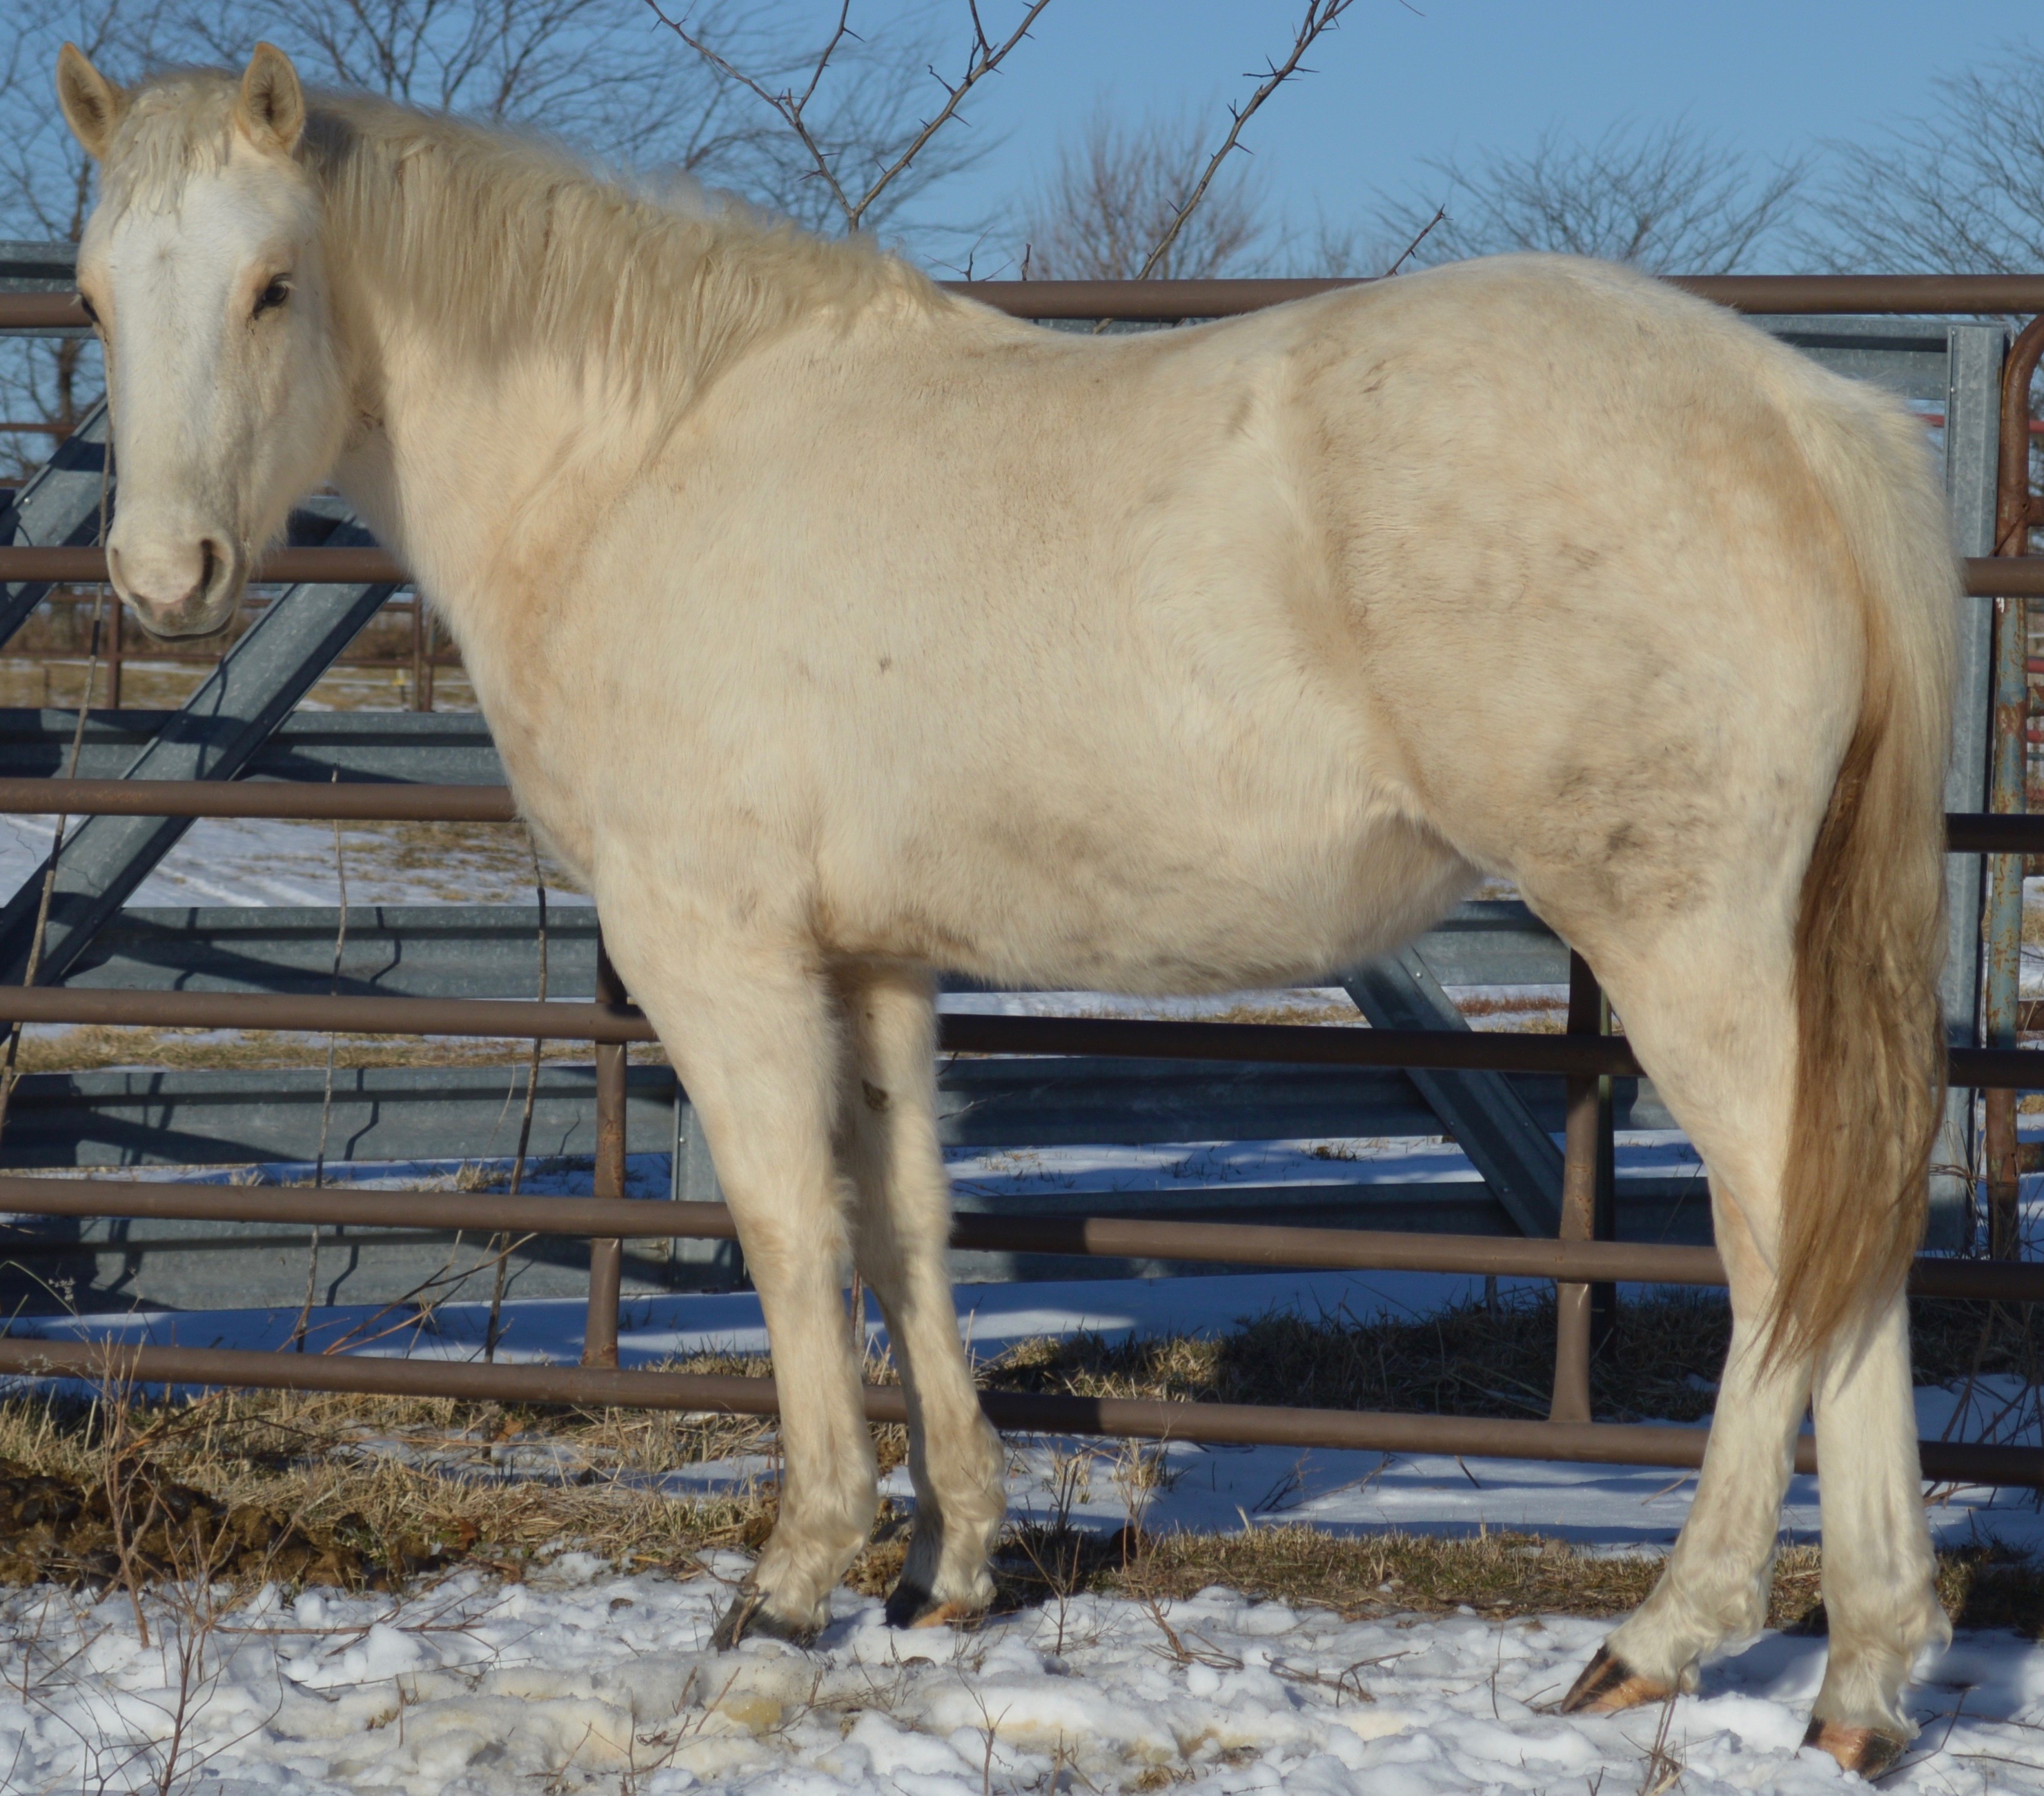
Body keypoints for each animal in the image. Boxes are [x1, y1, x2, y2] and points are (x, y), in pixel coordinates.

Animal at [54, 42, 1958, 1774]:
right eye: (90, 293)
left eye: (273, 285)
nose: (163, 576)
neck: (641, 464)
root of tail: (1801, 415)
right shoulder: (876, 959)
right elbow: (908, 1226)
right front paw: (946, 1563)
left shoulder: (716, 947)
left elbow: (789, 1234)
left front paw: (793, 1578)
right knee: (1845, 1246)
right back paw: (1861, 1679)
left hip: (1682, 940)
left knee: (1787, 1241)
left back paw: (1680, 1632)